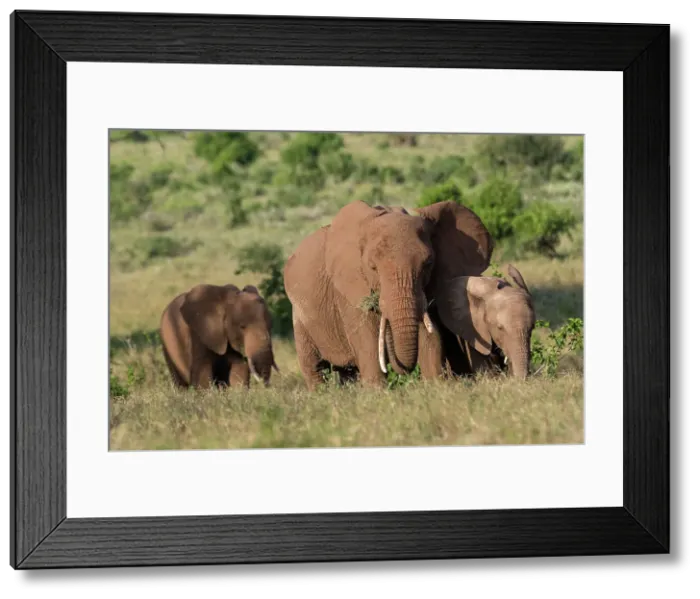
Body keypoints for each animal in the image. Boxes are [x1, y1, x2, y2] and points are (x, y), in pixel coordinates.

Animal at [282, 199, 493, 390]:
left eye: (428, 264)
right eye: (373, 267)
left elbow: (430, 337)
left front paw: (435, 388)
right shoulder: (348, 290)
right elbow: (367, 340)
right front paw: (378, 395)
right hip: (300, 318)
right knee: (314, 367)